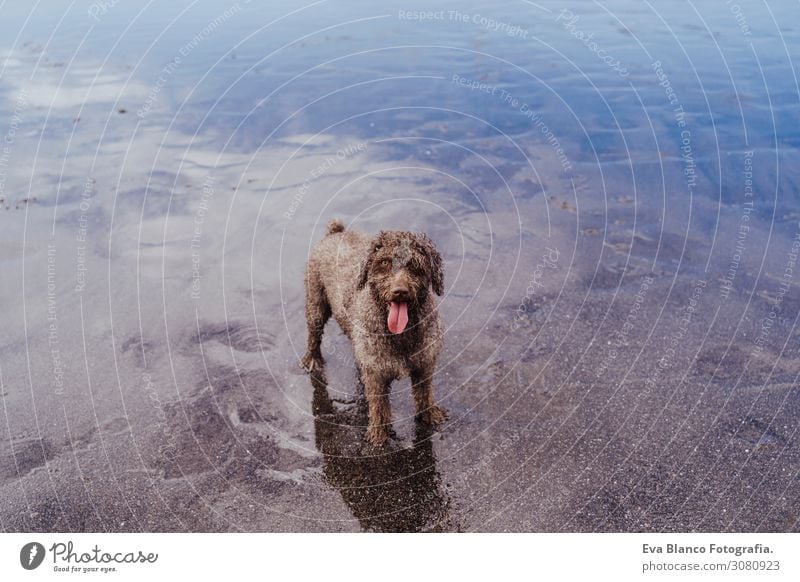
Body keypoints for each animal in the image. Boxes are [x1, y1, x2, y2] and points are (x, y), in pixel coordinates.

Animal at [304, 220, 446, 448]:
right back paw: (311, 359)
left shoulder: (424, 364)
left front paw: (430, 414)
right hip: (315, 302)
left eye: (415, 265)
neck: (400, 334)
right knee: (313, 334)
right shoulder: (376, 375)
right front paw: (379, 434)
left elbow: (425, 392)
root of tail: (336, 232)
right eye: (385, 263)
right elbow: (379, 405)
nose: (400, 291)